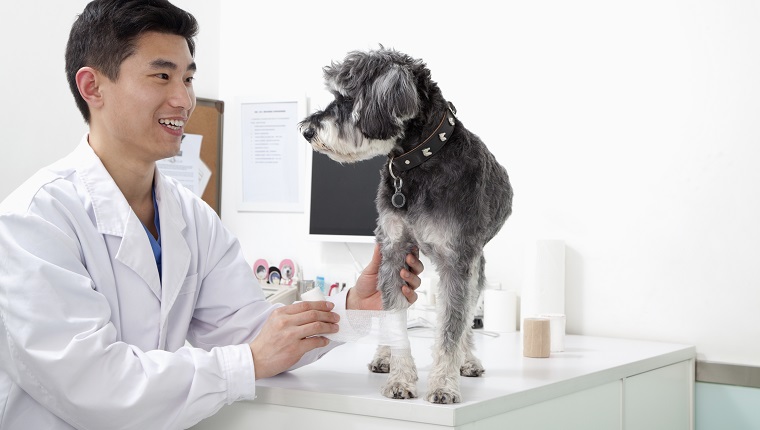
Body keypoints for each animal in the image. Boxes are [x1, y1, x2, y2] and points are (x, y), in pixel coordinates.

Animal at [300, 47, 512, 404]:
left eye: (347, 97)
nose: (306, 131)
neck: (418, 162)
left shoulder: (457, 262)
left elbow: (452, 327)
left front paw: (443, 385)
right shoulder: (394, 252)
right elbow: (395, 320)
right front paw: (400, 379)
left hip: (475, 267)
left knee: (468, 317)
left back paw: (468, 360)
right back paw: (383, 356)